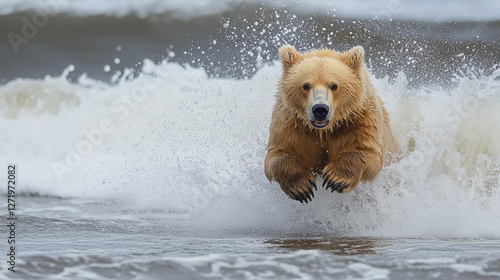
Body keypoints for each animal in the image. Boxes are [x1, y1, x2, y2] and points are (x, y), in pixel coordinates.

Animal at [266, 44, 398, 202]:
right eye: (306, 85)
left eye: (334, 85)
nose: (320, 109)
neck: (324, 129)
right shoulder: (291, 124)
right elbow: (277, 154)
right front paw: (302, 187)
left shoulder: (358, 120)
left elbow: (368, 152)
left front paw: (335, 178)